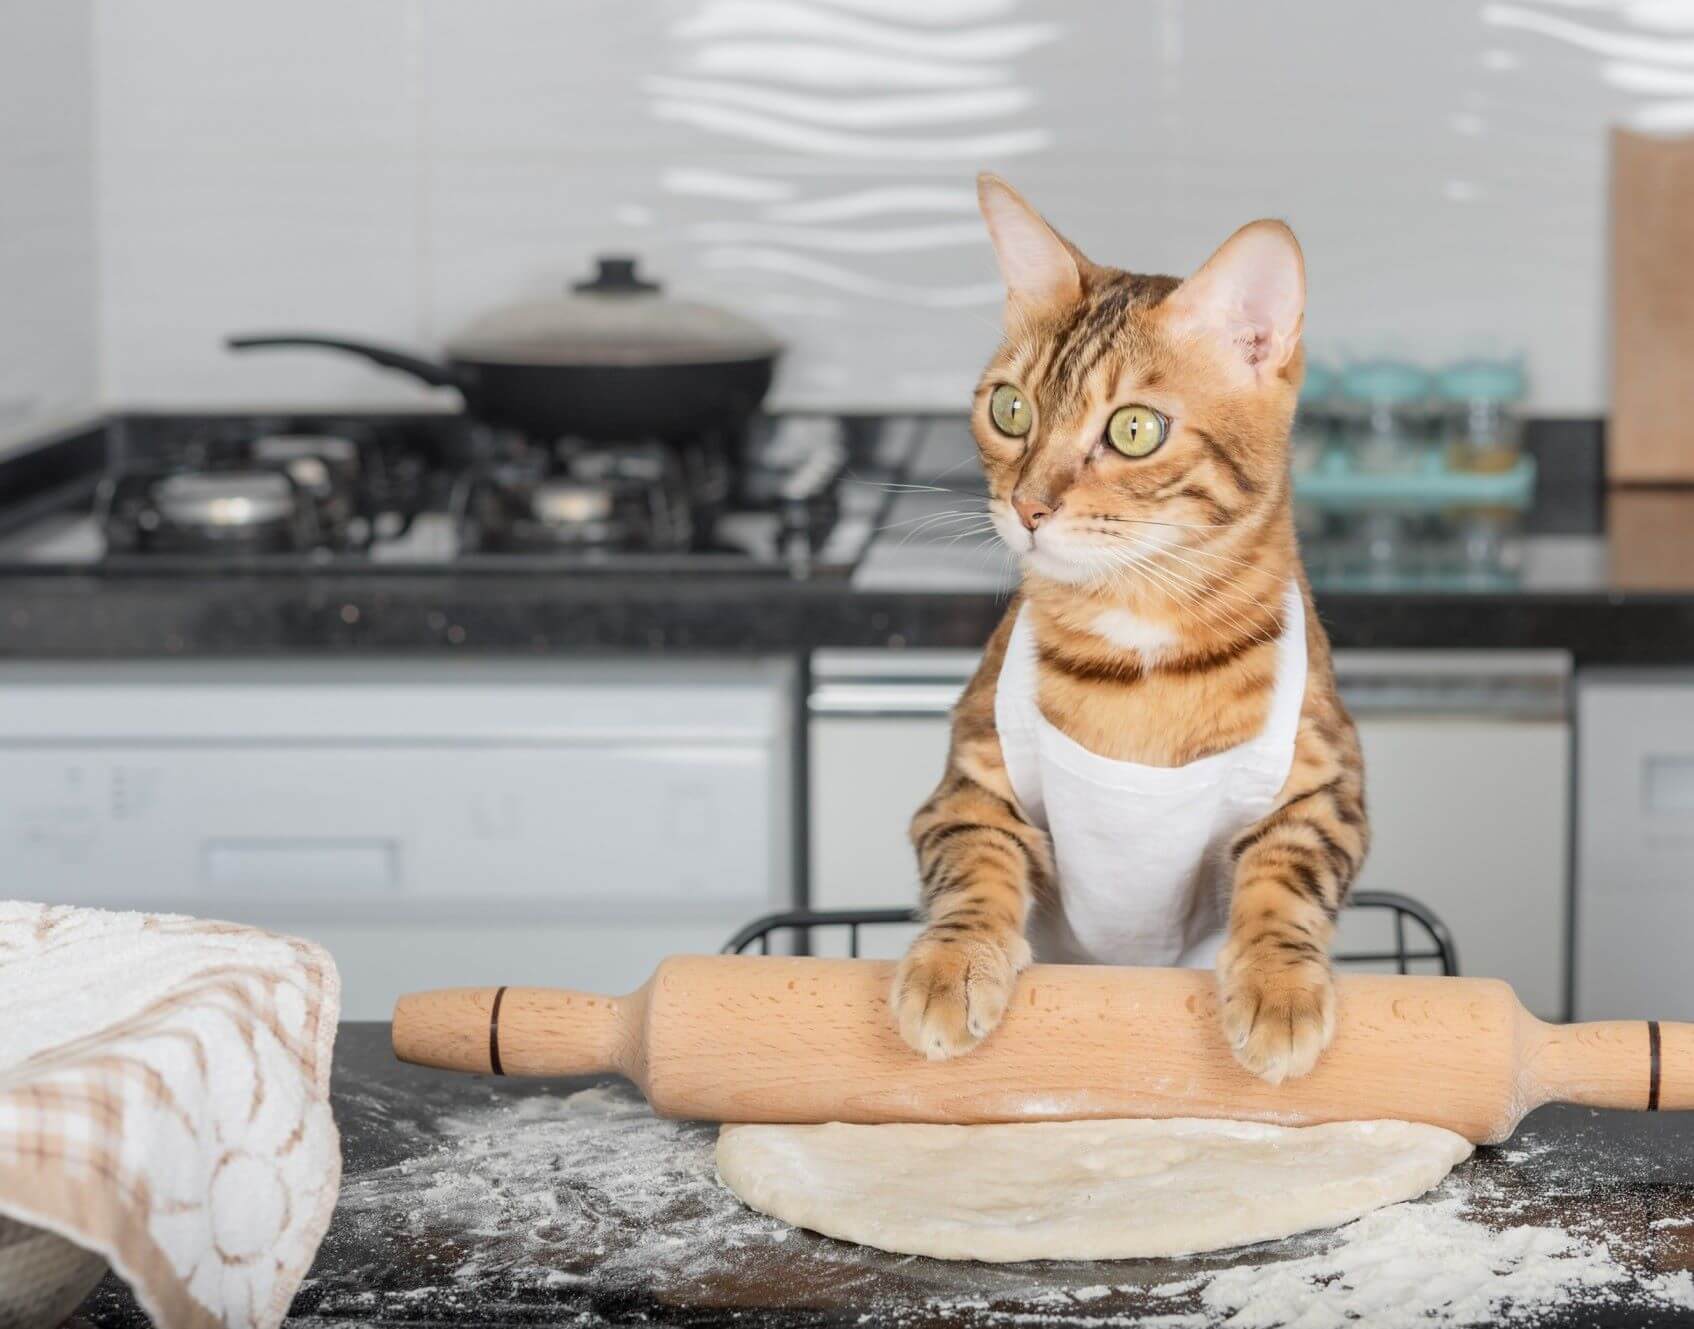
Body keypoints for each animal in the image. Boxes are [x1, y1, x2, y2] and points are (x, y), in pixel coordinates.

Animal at [894, 173, 1368, 1076]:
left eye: (1134, 428)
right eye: (1010, 410)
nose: (1027, 507)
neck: (1139, 637)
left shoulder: (1326, 783)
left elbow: (1286, 873)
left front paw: (1279, 984)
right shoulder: (969, 777)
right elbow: (974, 862)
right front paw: (952, 962)